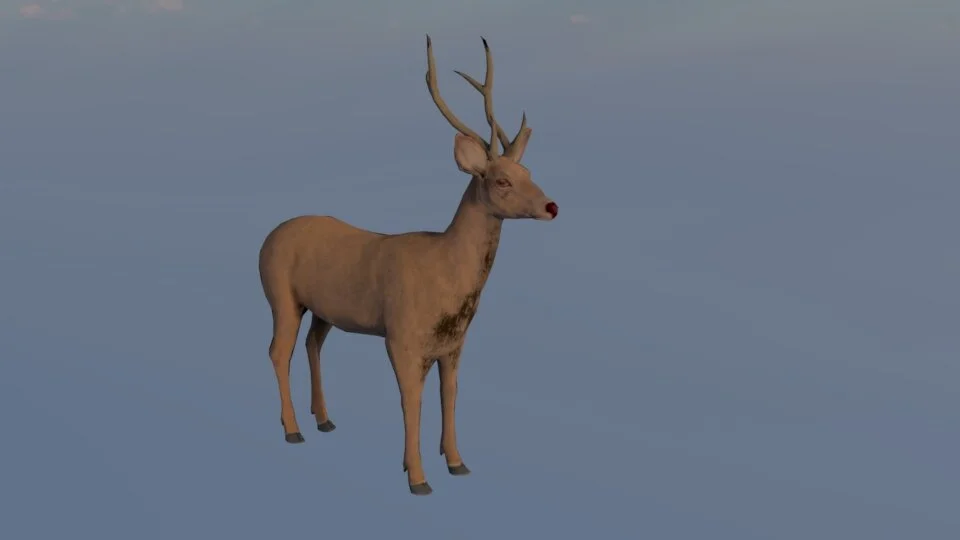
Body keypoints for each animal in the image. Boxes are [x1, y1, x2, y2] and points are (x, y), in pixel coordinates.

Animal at [257, 35, 558, 496]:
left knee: (312, 344)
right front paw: (417, 477)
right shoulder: (400, 334)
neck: (446, 279)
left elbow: (450, 395)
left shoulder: (454, 344)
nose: (551, 205)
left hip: (323, 309)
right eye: (502, 180)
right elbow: (410, 401)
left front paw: (456, 462)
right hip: (280, 294)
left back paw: (324, 419)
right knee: (277, 351)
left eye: (527, 170)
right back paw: (292, 429)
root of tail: (265, 239)